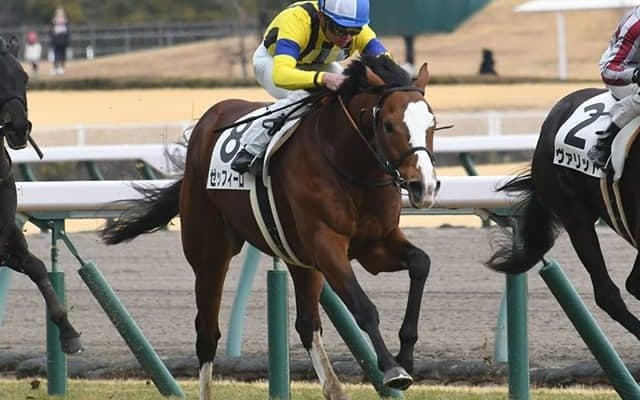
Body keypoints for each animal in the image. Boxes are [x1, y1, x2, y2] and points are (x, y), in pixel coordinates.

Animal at [101, 55, 439, 400]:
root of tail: (207, 122)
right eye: (389, 125)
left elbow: (421, 263)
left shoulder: (375, 244)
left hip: (298, 258)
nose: (424, 186)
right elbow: (364, 307)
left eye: (432, 124)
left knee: (306, 324)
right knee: (207, 333)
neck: (350, 164)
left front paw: (406, 355)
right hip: (209, 253)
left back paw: (334, 388)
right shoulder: (327, 245)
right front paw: (393, 369)